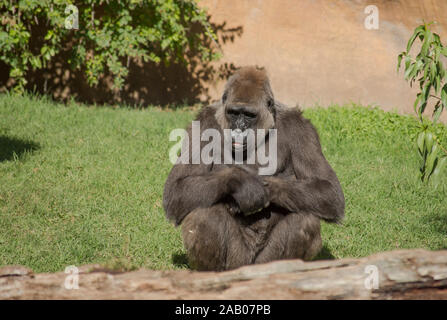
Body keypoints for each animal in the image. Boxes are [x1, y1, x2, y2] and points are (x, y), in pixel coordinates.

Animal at [163, 66, 344, 272]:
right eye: (234, 113)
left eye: (249, 115)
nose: (239, 128)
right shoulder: (202, 124)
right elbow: (177, 188)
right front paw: (245, 185)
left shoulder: (301, 128)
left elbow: (328, 189)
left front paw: (268, 188)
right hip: (237, 262)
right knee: (205, 216)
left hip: (264, 261)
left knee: (304, 219)